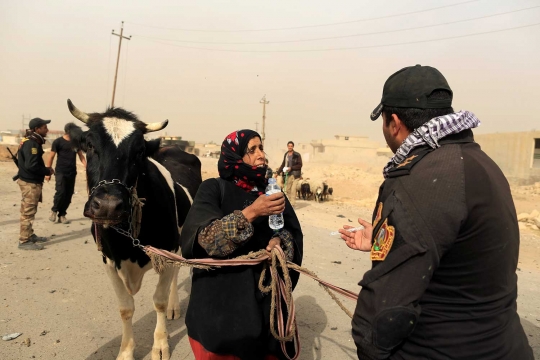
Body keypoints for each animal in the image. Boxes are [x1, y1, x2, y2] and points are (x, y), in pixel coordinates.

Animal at [66, 99, 201, 360]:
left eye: (138, 151)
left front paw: (160, 344)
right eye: (89, 145)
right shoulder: (108, 260)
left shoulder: (166, 252)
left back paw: (173, 306)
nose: (108, 205)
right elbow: (126, 307)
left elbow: (158, 300)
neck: (127, 245)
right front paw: (127, 351)